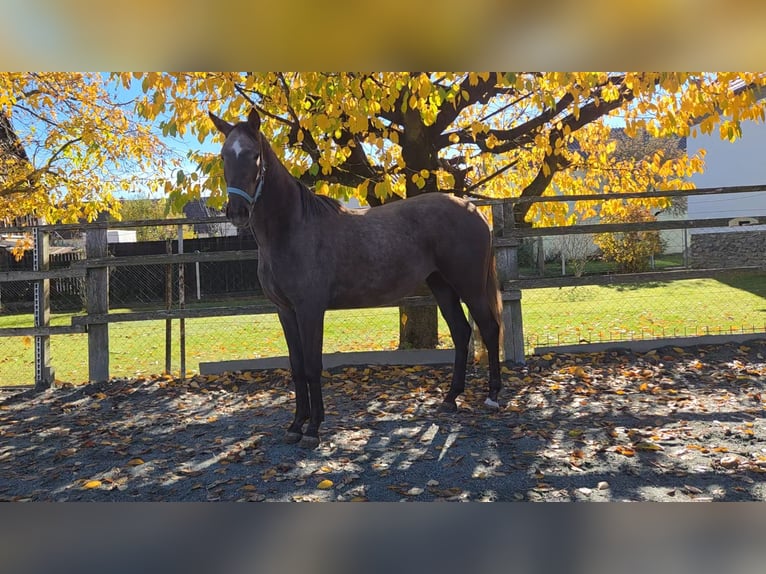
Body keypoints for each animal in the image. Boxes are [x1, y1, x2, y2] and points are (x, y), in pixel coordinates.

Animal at [209, 108, 503, 449]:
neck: (292, 228)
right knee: (461, 332)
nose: (237, 211)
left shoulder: (310, 309)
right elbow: (296, 367)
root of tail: (473, 209)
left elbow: (312, 366)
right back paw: (450, 398)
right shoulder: (285, 311)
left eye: (255, 155)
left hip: (470, 286)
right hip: (441, 286)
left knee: (489, 328)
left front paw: (313, 429)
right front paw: (296, 425)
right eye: (224, 156)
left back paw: (493, 395)